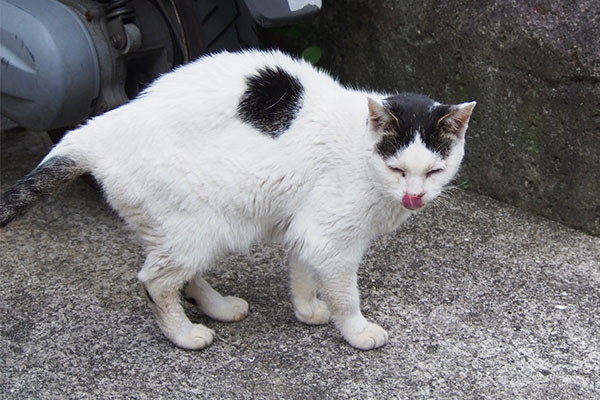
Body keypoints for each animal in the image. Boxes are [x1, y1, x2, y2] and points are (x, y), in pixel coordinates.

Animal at [1, 49, 478, 350]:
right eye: (397, 169)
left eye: (433, 171)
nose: (414, 196)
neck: (362, 154)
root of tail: (95, 129)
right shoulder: (333, 240)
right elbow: (345, 296)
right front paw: (357, 332)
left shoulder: (306, 226)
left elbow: (302, 274)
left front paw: (307, 312)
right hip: (198, 227)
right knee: (155, 282)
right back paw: (185, 336)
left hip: (189, 231)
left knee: (182, 276)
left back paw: (218, 307)